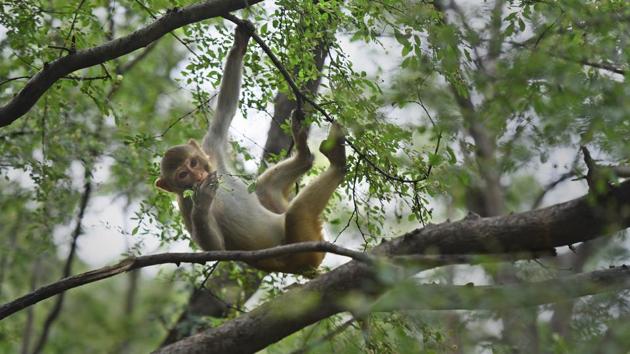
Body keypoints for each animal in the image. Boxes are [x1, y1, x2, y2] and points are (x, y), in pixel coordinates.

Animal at [156, 22, 348, 274]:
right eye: (183, 175)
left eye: (193, 162)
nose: (198, 175)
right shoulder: (184, 204)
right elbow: (215, 249)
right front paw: (204, 200)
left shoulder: (211, 151)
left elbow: (223, 115)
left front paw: (239, 44)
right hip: (304, 251)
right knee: (296, 214)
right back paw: (337, 162)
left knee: (265, 188)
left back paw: (304, 150)